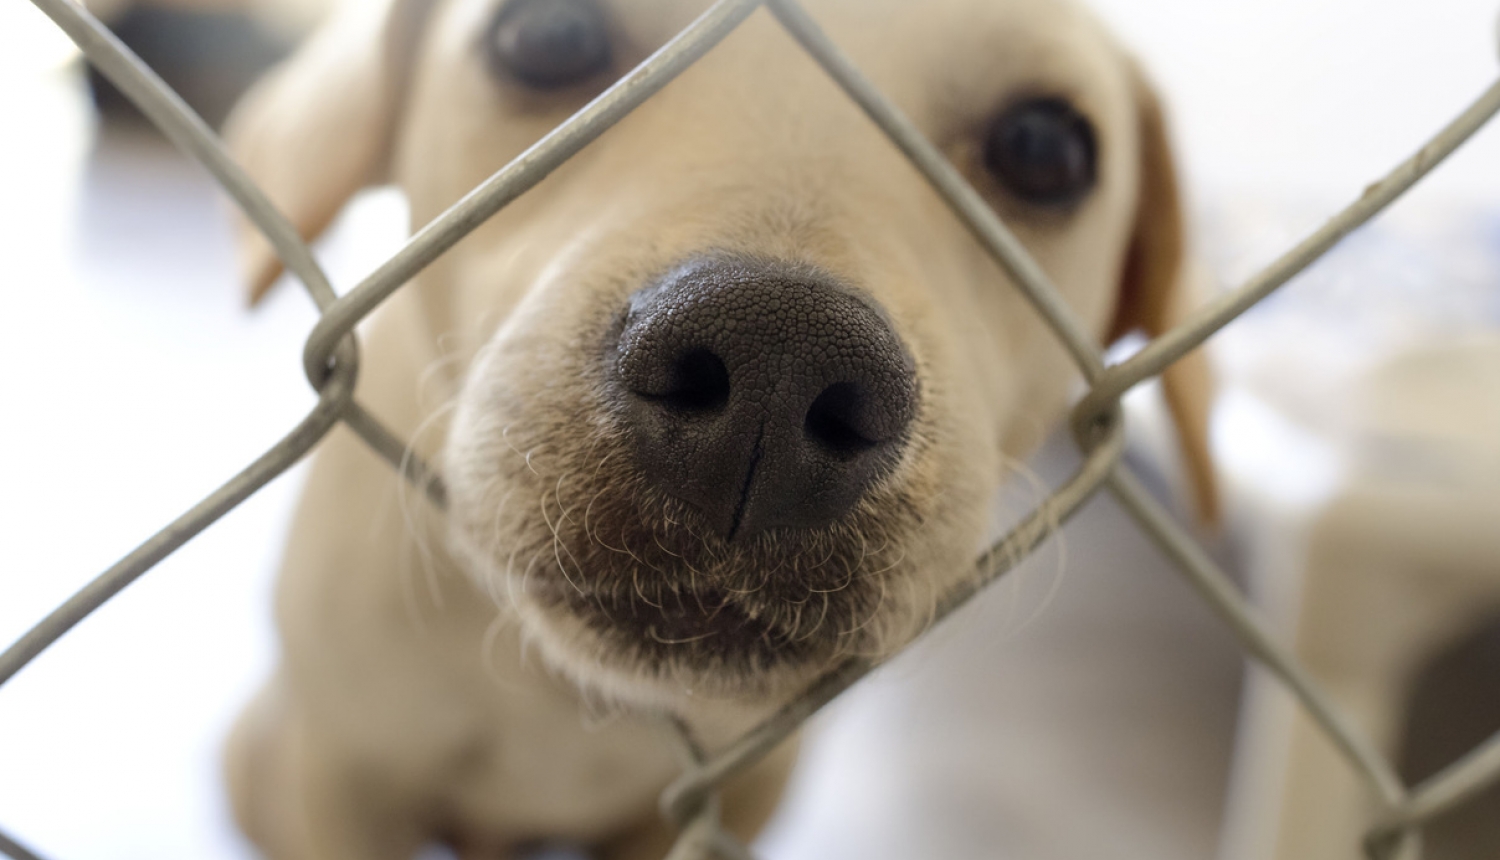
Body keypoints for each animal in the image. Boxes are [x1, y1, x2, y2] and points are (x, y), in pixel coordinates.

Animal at [222, 3, 1212, 852]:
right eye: (548, 33)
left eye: (1043, 146)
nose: (778, 365)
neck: (565, 695)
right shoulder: (342, 780)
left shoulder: (728, 800)